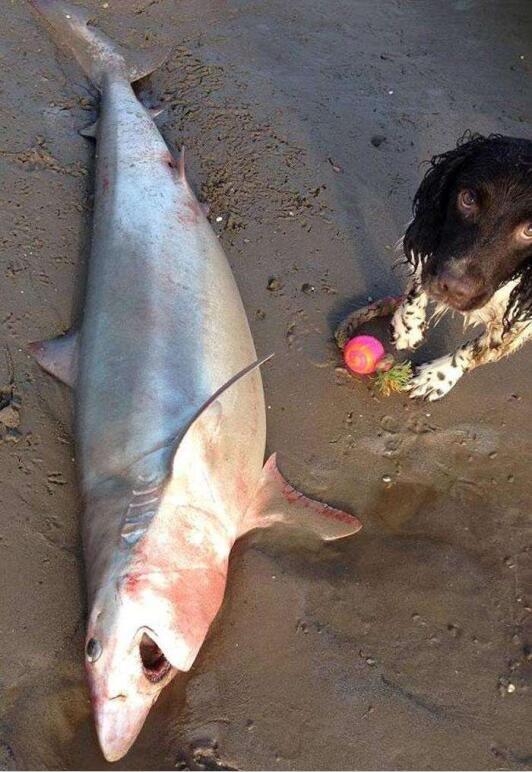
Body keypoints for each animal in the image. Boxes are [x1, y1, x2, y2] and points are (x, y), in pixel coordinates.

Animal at [390, 133, 532, 402]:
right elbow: (420, 277)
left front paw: (438, 376)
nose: (453, 287)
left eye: (530, 231)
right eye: (468, 198)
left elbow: (481, 348)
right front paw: (408, 324)